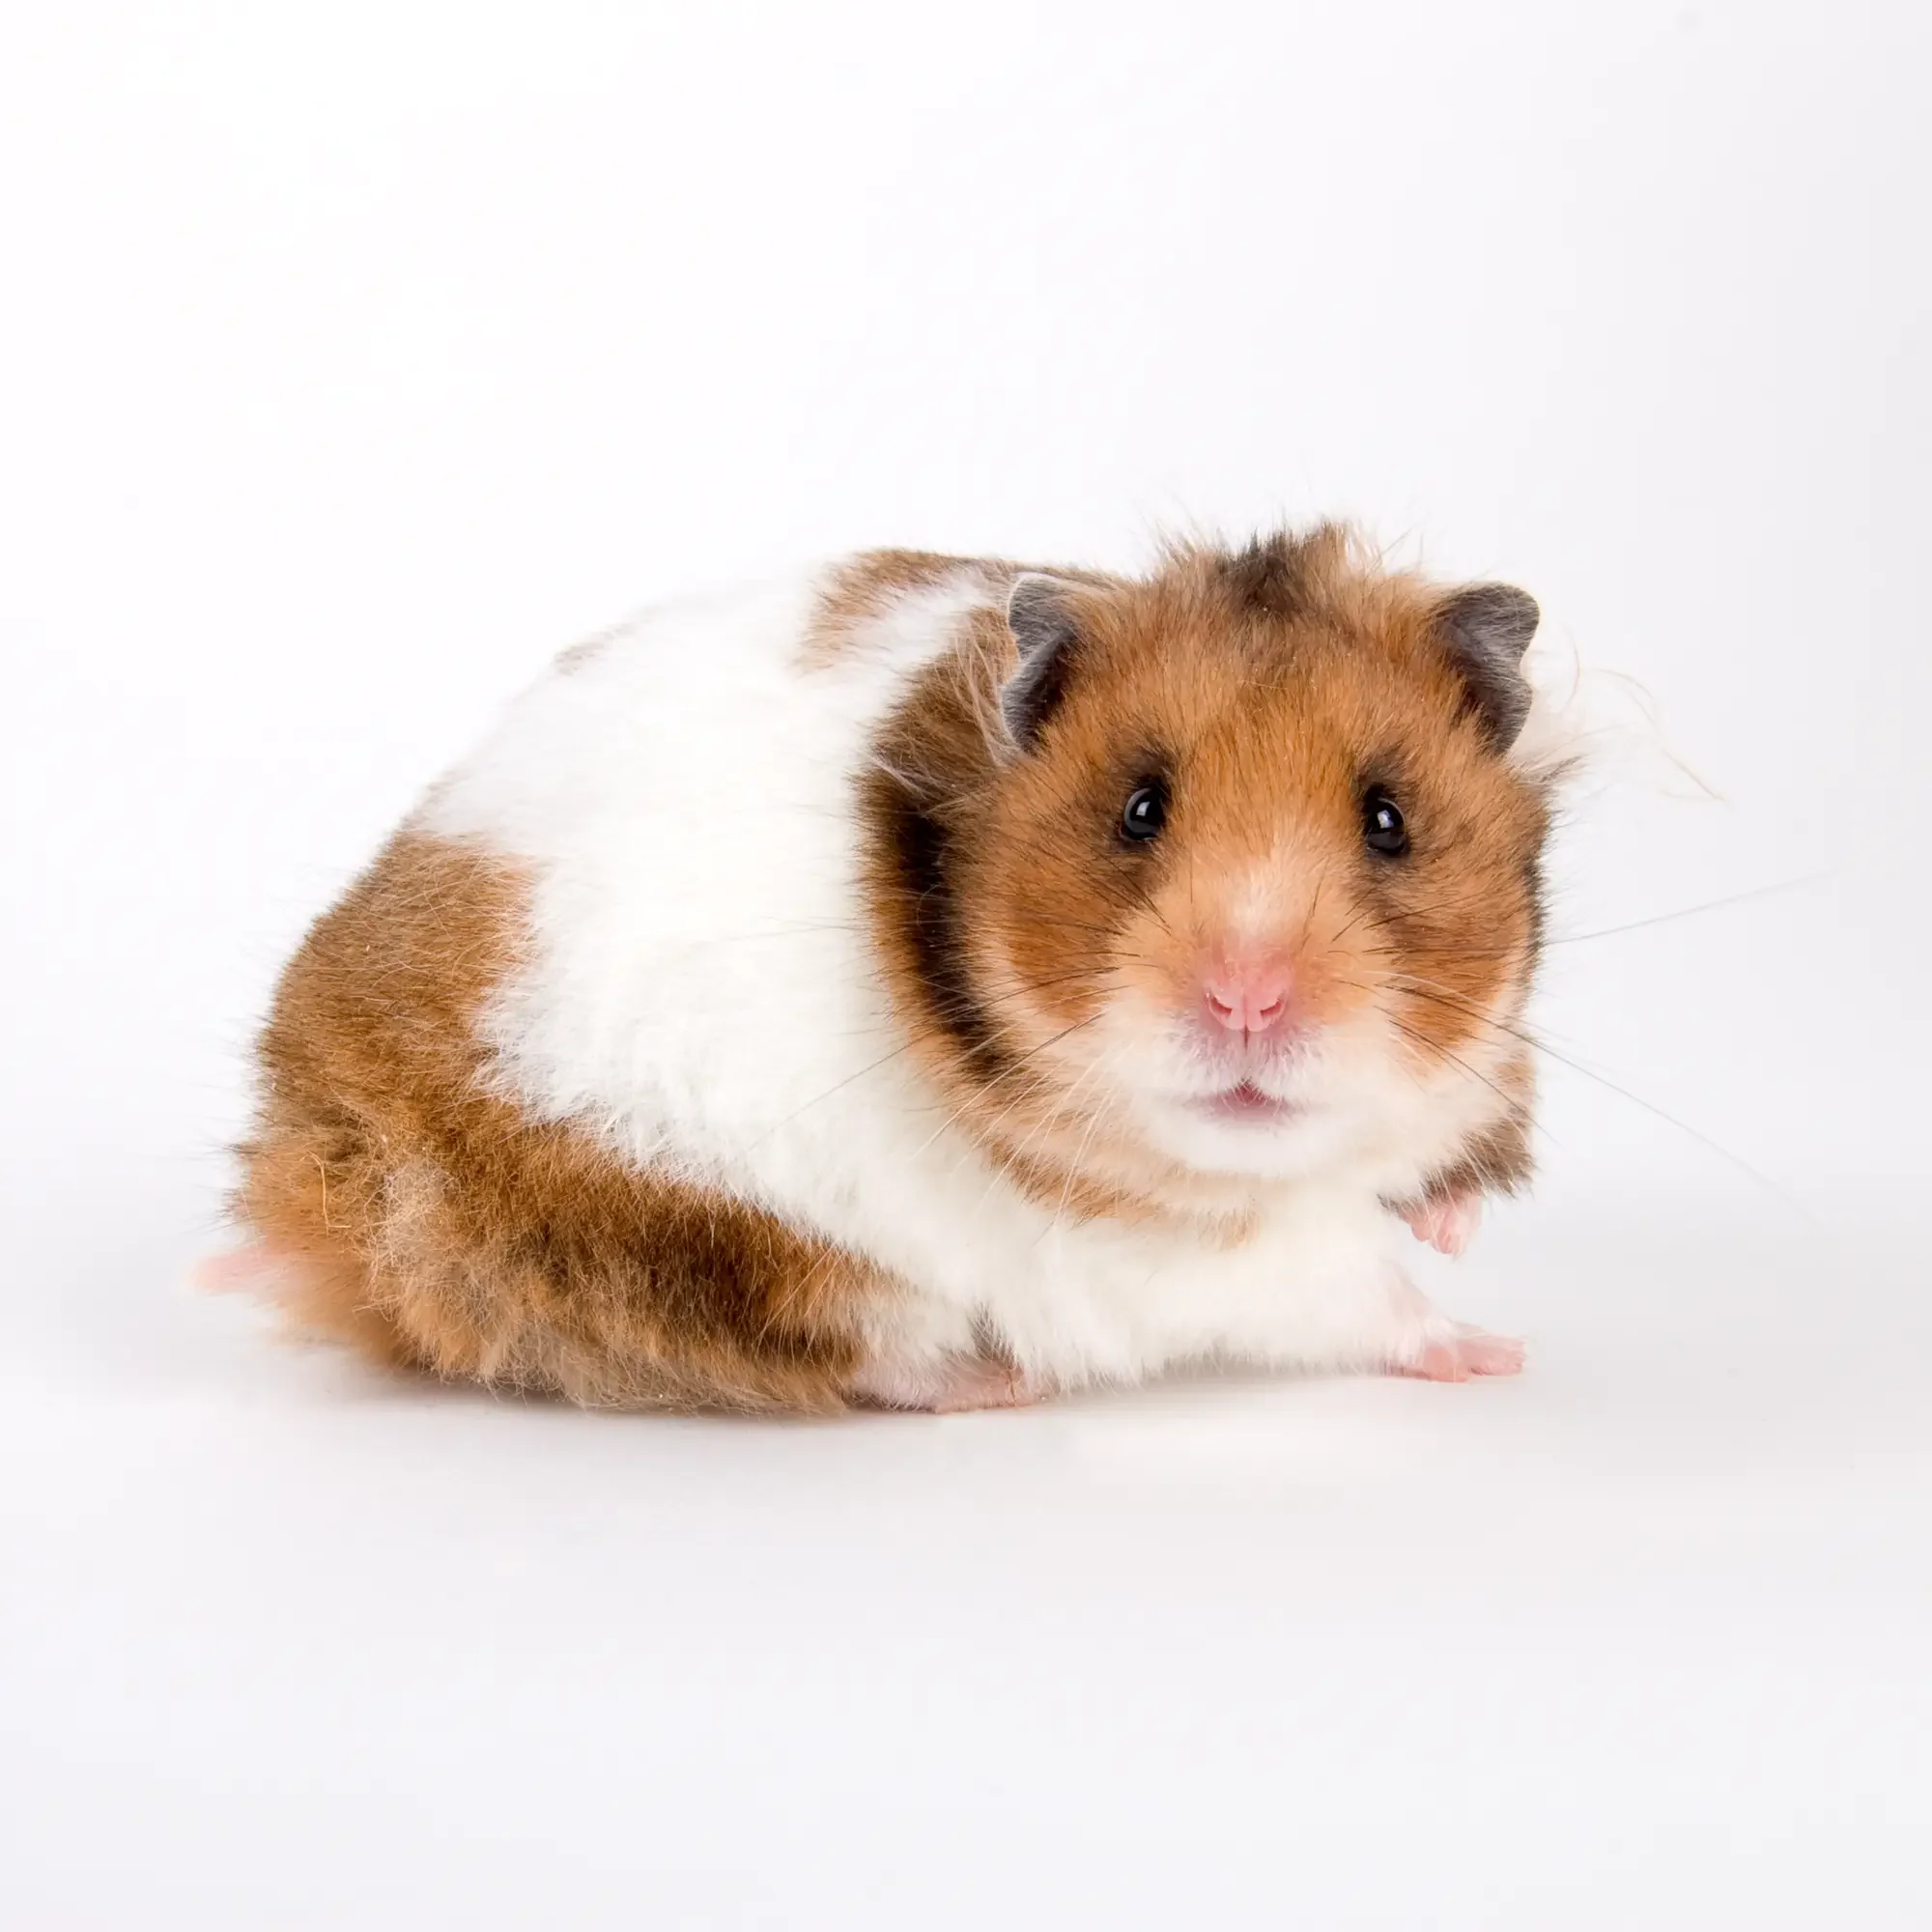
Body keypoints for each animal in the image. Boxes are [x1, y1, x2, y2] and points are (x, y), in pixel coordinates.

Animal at [231, 525, 1557, 1413]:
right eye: (1138, 808)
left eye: (1387, 819)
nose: (1245, 996)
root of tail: (314, 1135)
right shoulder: (1178, 1258)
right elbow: (1352, 1289)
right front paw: (1490, 1351)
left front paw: (1448, 1219)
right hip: (717, 1235)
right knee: (866, 1347)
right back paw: (997, 1383)